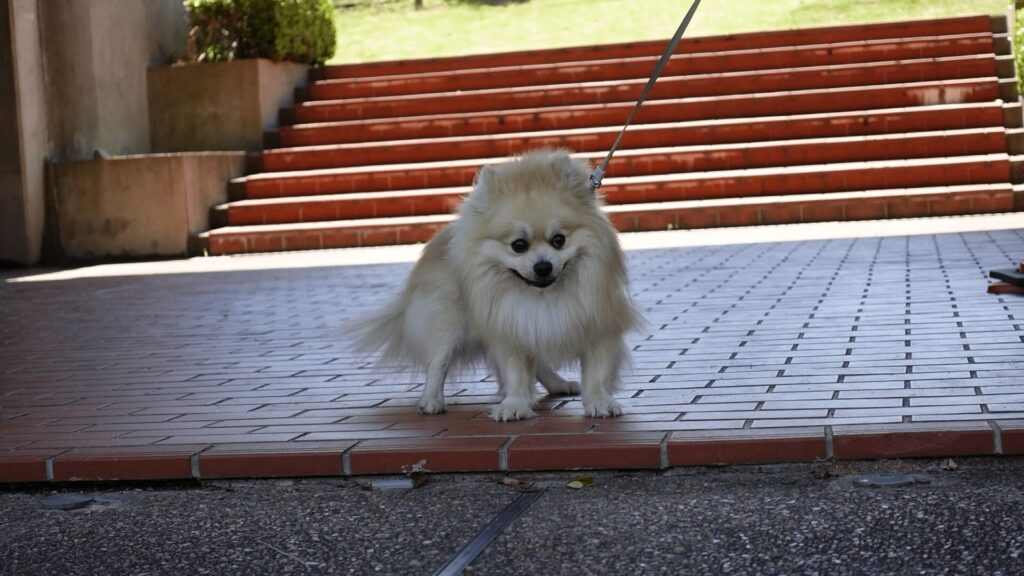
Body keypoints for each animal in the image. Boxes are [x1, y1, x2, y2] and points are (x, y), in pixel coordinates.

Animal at [354, 149, 640, 421]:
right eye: (518, 245)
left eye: (559, 240)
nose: (543, 266)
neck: (543, 296)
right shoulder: (507, 327)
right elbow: (515, 372)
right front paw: (515, 405)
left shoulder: (597, 325)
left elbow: (596, 372)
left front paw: (599, 403)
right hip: (447, 323)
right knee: (438, 361)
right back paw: (431, 401)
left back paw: (558, 385)